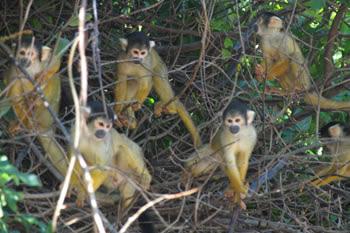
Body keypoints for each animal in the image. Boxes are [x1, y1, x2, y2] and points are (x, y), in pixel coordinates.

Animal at [2, 36, 68, 175]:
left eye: (31, 54)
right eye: (22, 53)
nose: (25, 60)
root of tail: (47, 129)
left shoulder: (43, 63)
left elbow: (55, 61)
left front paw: (44, 76)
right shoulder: (14, 71)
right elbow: (13, 96)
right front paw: (17, 125)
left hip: (48, 116)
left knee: (55, 79)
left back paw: (38, 99)